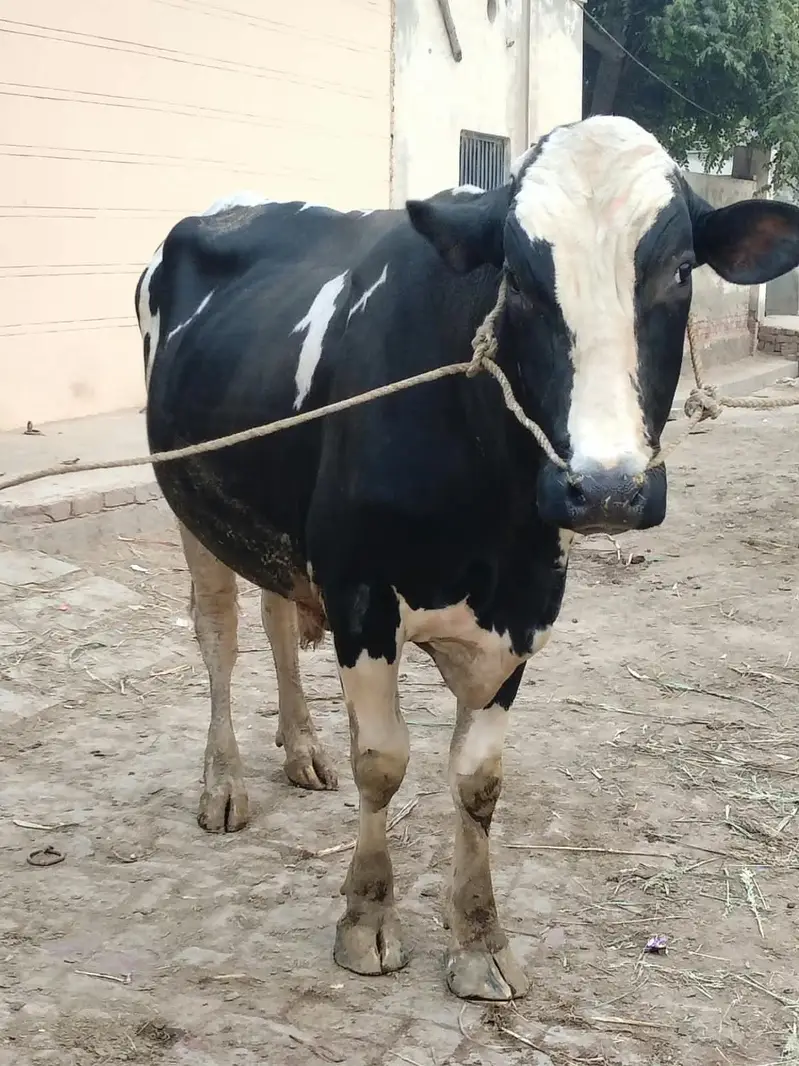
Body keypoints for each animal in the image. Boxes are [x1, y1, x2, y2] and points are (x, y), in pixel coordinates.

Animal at [137, 116, 799, 1001]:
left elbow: (478, 780)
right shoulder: (359, 591)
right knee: (219, 636)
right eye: (515, 278)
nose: (606, 488)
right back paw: (224, 783)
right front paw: (367, 919)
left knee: (277, 614)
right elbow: (382, 763)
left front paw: (481, 941)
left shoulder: (523, 604)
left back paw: (302, 747)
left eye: (681, 269)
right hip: (192, 501)